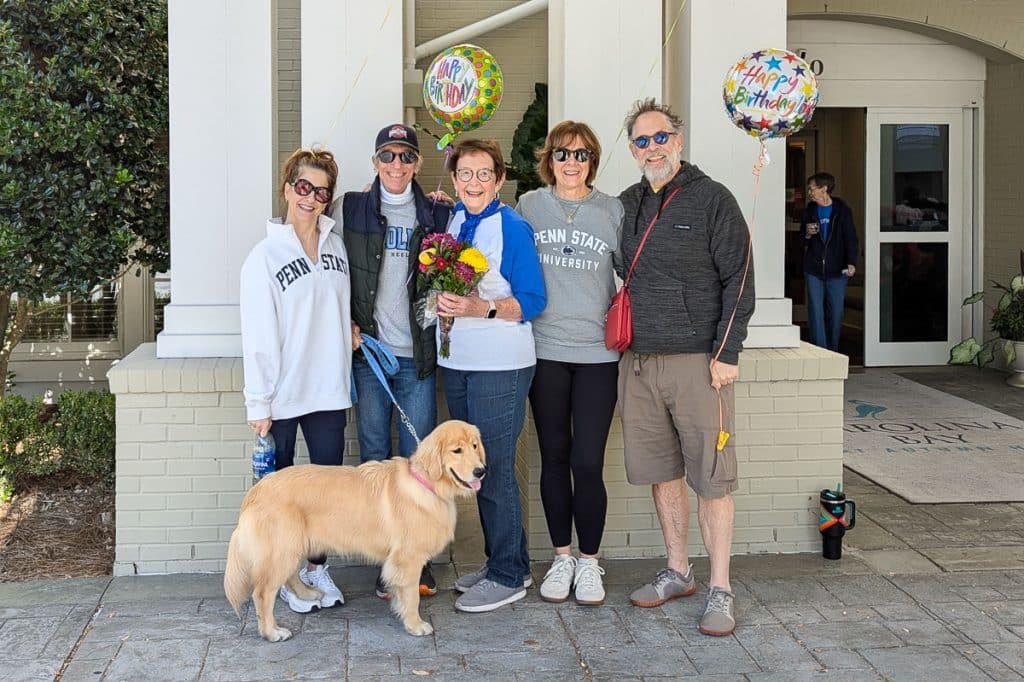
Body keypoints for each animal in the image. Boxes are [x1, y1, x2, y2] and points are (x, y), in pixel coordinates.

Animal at [222, 417, 485, 638]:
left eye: (474, 446)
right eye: (456, 450)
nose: (481, 471)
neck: (426, 483)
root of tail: (256, 489)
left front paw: (401, 613)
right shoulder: (407, 559)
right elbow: (412, 597)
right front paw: (415, 624)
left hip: (293, 546)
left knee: (289, 576)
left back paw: (308, 593)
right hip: (283, 548)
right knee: (263, 592)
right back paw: (272, 632)